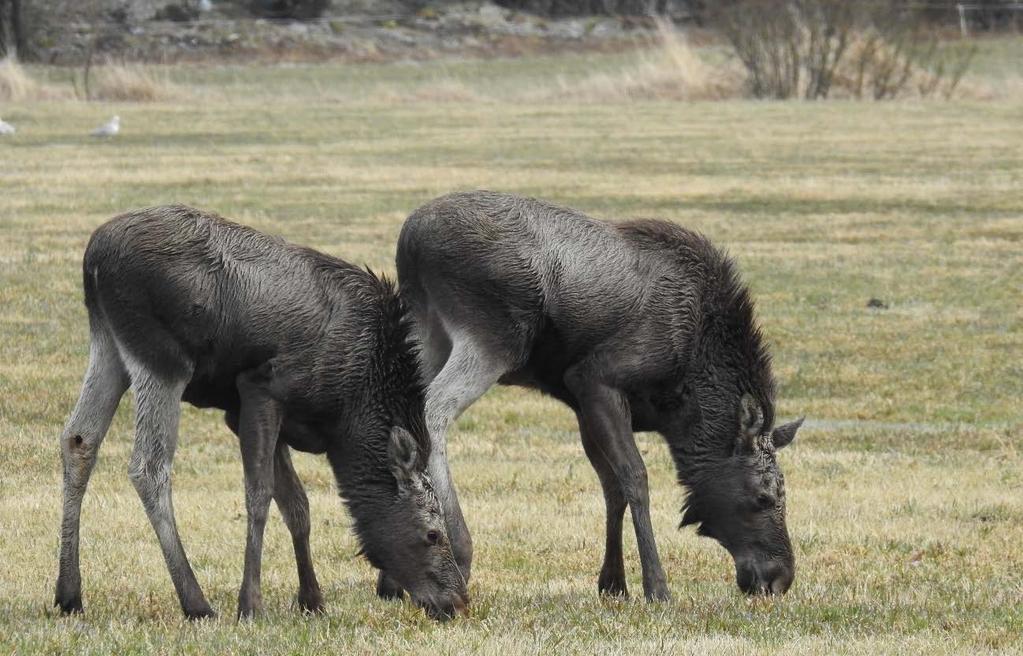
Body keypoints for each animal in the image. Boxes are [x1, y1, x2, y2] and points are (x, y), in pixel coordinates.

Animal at [54, 204, 468, 618]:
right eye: (433, 534)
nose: (457, 600)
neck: (347, 416)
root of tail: (93, 258)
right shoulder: (260, 388)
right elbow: (260, 494)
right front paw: (251, 603)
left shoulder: (249, 413)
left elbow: (298, 506)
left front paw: (311, 599)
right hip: (163, 359)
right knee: (148, 466)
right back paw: (195, 601)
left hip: (110, 344)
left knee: (79, 438)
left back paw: (68, 593)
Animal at [386, 189, 802, 597]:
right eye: (765, 497)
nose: (779, 577)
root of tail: (409, 241)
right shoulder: (596, 378)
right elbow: (635, 477)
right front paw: (656, 585)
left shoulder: (581, 403)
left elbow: (611, 485)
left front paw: (613, 582)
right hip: (492, 337)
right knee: (434, 411)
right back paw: (458, 549)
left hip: (426, 329)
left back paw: (394, 574)